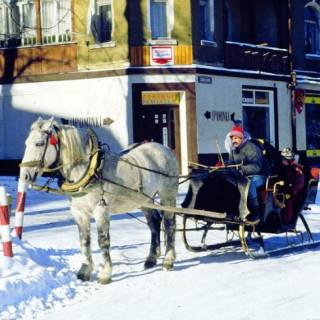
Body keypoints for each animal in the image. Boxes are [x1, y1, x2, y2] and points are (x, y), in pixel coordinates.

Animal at [19, 117, 180, 282]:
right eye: (26, 143)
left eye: (39, 143)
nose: (24, 176)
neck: (88, 170)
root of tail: (164, 148)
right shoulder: (78, 212)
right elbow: (84, 241)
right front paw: (85, 270)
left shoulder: (101, 209)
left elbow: (103, 240)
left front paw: (105, 273)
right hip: (144, 199)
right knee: (154, 223)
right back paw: (151, 259)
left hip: (167, 194)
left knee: (169, 224)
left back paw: (168, 260)